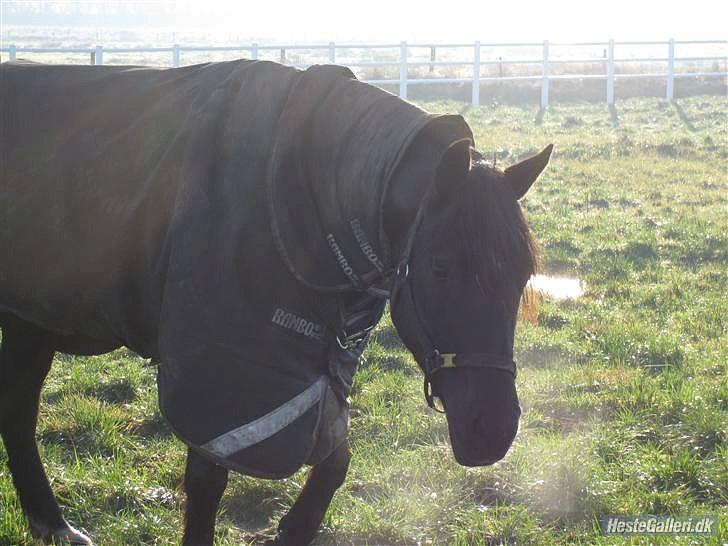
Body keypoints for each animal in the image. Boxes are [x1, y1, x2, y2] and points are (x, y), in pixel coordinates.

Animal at [0, 57, 552, 540]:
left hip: (31, 322)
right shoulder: (220, 384)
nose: (493, 432)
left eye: (524, 274)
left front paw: (295, 527)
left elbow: (335, 460)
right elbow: (207, 485)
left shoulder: (318, 374)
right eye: (439, 266)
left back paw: (53, 526)